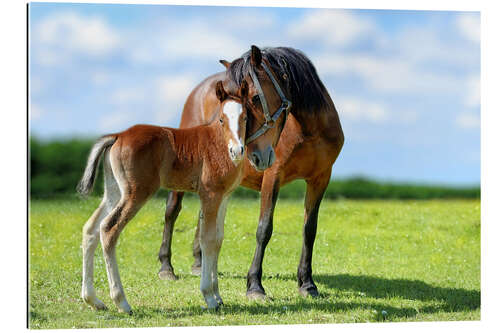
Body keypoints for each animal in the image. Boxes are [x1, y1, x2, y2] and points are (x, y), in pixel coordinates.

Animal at [76, 79, 284, 312]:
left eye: (245, 117)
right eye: (222, 119)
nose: (237, 151)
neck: (218, 141)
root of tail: (118, 135)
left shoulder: (224, 196)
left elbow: (218, 239)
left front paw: (218, 296)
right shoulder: (210, 194)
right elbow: (207, 239)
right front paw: (209, 297)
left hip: (114, 192)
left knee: (91, 228)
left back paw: (93, 300)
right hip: (136, 193)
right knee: (109, 229)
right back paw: (121, 302)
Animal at [157, 45, 344, 296]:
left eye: (254, 97)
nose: (250, 154)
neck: (309, 131)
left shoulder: (321, 178)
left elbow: (309, 230)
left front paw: (307, 283)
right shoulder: (273, 176)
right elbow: (264, 229)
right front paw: (255, 285)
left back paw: (199, 263)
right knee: (172, 210)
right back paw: (166, 267)